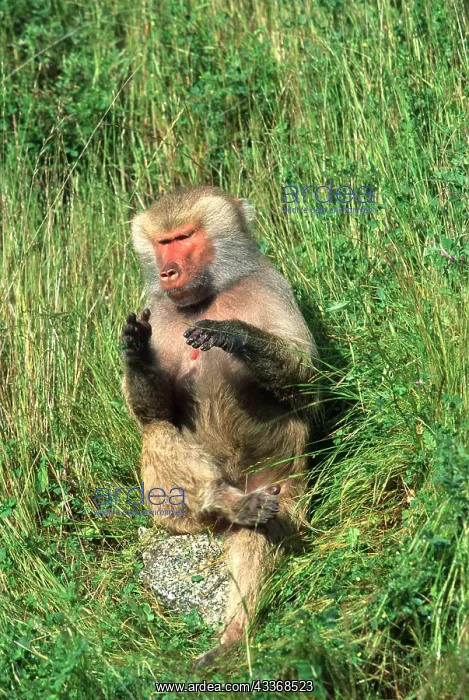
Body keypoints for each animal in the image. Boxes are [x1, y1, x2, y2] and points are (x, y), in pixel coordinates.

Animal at [121, 186, 320, 667]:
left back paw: (233, 635)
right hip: (177, 519)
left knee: (261, 532)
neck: (210, 293)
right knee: (157, 433)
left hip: (283, 490)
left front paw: (234, 334)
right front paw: (136, 350)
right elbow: (155, 412)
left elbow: (309, 384)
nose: (168, 271)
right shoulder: (156, 310)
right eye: (163, 242)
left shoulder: (273, 285)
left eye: (184, 237)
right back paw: (223, 499)